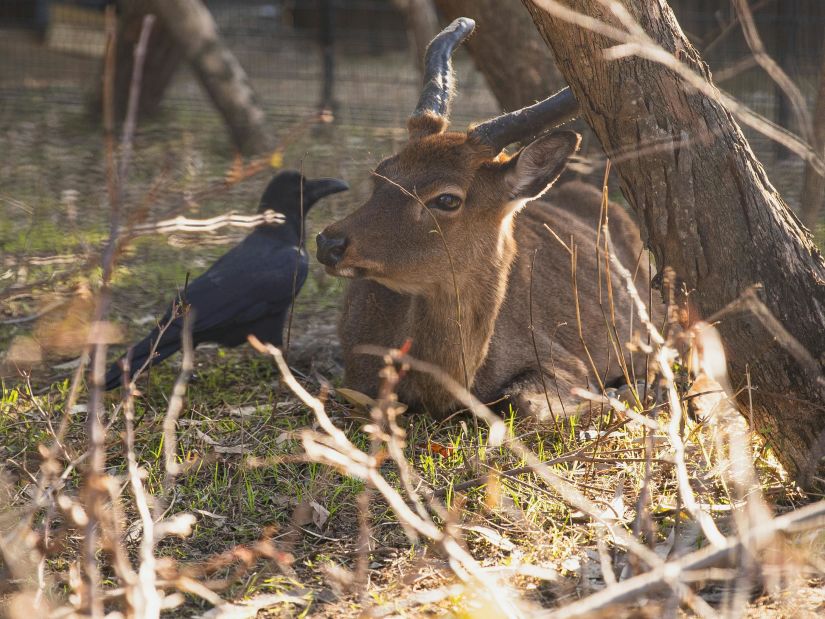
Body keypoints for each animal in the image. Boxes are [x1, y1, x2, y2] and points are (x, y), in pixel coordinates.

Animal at [316, 18, 656, 422]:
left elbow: (523, 401)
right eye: (380, 172)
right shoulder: (356, 374)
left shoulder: (566, 361)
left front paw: (621, 394)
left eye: (447, 198)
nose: (329, 242)